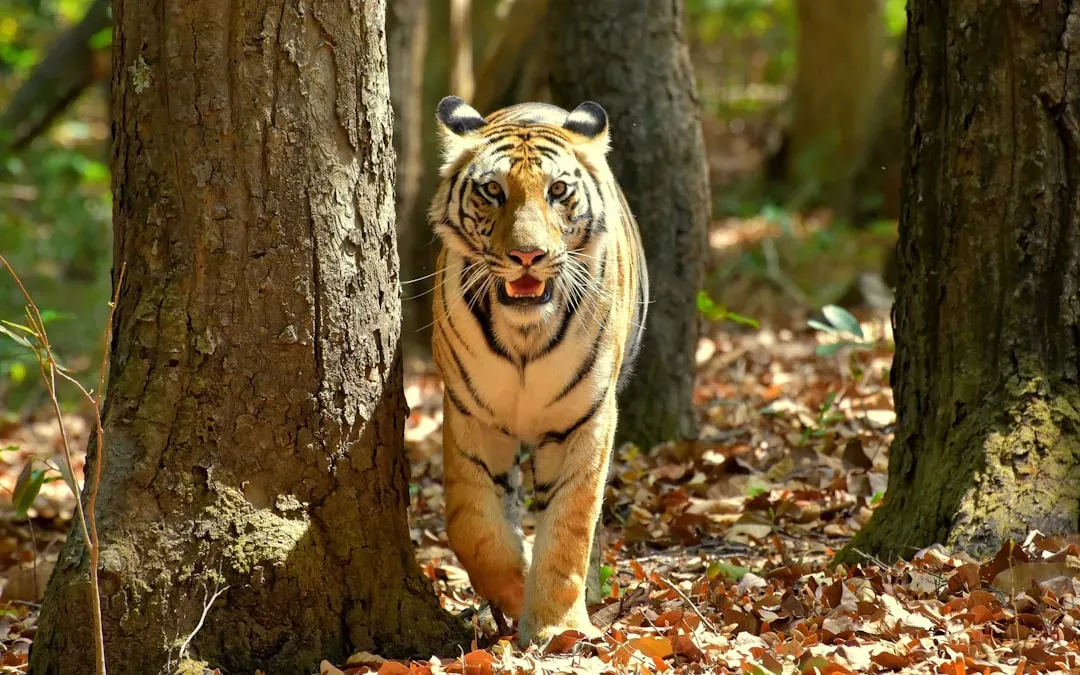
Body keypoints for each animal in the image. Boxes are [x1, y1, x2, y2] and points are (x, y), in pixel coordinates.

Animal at [427, 95, 649, 646]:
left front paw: (556, 627)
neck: (524, 335)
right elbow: (474, 526)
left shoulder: (584, 419)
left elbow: (571, 527)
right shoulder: (471, 415)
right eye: (493, 190)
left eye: (558, 191)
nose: (528, 255)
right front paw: (512, 593)